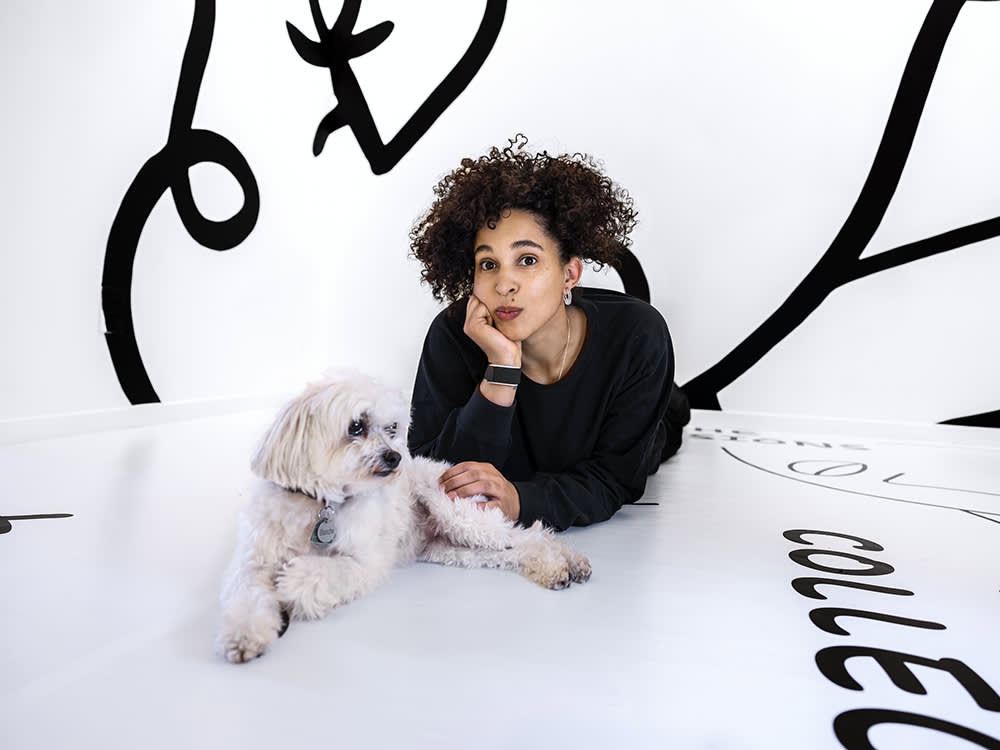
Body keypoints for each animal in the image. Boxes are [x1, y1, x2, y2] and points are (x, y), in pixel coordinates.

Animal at [216, 370, 588, 664]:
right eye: (356, 426)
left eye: (392, 427)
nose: (395, 457)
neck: (318, 504)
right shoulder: (251, 563)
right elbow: (245, 596)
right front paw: (244, 634)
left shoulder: (365, 563)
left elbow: (325, 571)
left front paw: (294, 580)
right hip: (453, 550)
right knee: (512, 551)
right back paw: (557, 567)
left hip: (458, 514)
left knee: (531, 533)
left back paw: (564, 563)